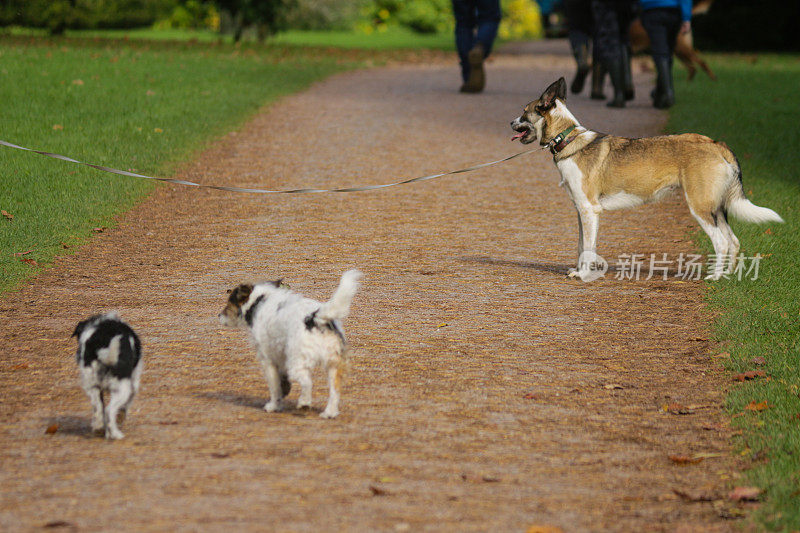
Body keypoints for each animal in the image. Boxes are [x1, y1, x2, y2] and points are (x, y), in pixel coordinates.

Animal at [72, 310, 142, 438]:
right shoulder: (134, 382)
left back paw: (99, 429)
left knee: (98, 409)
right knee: (109, 411)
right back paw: (116, 434)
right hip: (122, 388)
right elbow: (125, 406)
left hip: (92, 386)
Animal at [216, 268, 360, 418]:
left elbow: (275, 387)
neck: (259, 301)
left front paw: (273, 406)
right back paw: (329, 413)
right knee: (334, 391)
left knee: (307, 383)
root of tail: (317, 318)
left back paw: (304, 404)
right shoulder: (281, 357)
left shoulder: (268, 359)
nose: (219, 316)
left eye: (229, 302)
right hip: (333, 366)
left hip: (297, 363)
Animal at [512, 77, 780, 280]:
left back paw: (714, 276)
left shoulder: (589, 210)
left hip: (701, 208)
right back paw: (728, 276)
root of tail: (716, 144)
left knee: (722, 242)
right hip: (717, 208)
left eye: (524, 112)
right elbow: (583, 246)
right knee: (733, 241)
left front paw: (583, 274)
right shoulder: (583, 212)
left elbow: (587, 248)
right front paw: (582, 270)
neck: (568, 139)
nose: (511, 122)